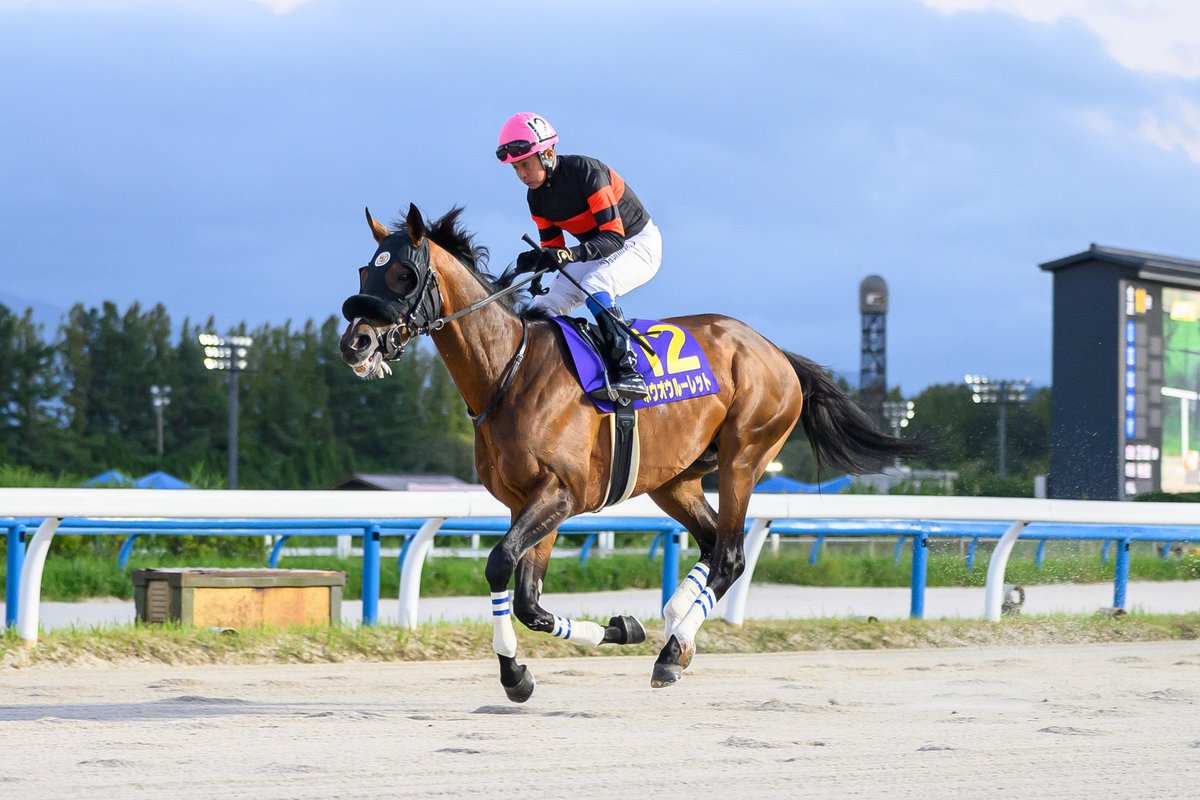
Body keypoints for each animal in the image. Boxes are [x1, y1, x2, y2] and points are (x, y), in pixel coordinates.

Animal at [339, 204, 921, 701]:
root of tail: (775, 350)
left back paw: (672, 649)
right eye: (365, 272)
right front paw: (611, 632)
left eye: (403, 275)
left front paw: (515, 673)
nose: (356, 343)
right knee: (710, 544)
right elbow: (529, 601)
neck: (509, 370)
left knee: (730, 555)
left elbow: (501, 564)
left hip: (745, 456)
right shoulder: (526, 501)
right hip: (675, 479)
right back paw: (674, 624)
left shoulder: (561, 494)